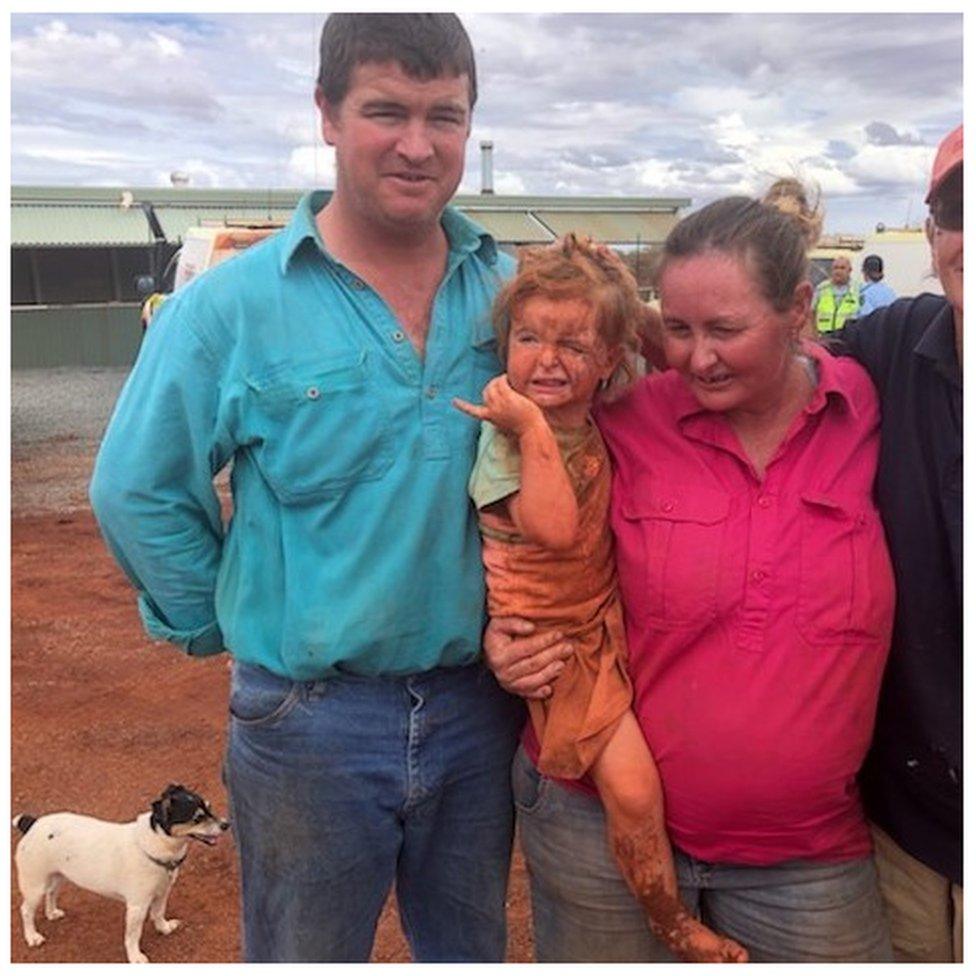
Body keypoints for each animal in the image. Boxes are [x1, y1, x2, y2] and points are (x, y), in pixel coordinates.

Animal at [12, 784, 230, 960]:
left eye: (209, 808)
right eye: (198, 818)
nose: (226, 824)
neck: (155, 844)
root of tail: (33, 823)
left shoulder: (161, 893)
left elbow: (158, 913)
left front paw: (164, 928)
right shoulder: (137, 907)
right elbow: (133, 936)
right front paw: (135, 957)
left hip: (57, 877)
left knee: (51, 894)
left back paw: (52, 913)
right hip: (34, 886)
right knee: (26, 911)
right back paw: (32, 936)